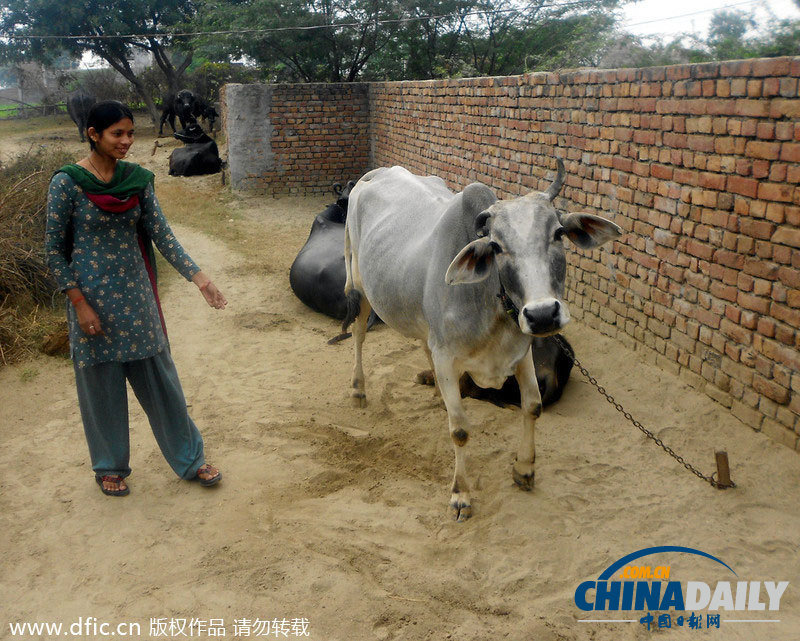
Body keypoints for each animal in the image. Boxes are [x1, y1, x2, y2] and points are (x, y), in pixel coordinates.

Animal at [340, 160, 620, 520]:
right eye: (496, 246)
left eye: (558, 233)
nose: (543, 314)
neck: (491, 308)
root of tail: (378, 172)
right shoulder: (447, 356)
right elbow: (460, 429)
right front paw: (461, 494)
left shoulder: (521, 352)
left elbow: (533, 405)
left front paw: (524, 469)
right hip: (358, 284)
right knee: (359, 334)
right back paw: (359, 388)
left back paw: (436, 396)